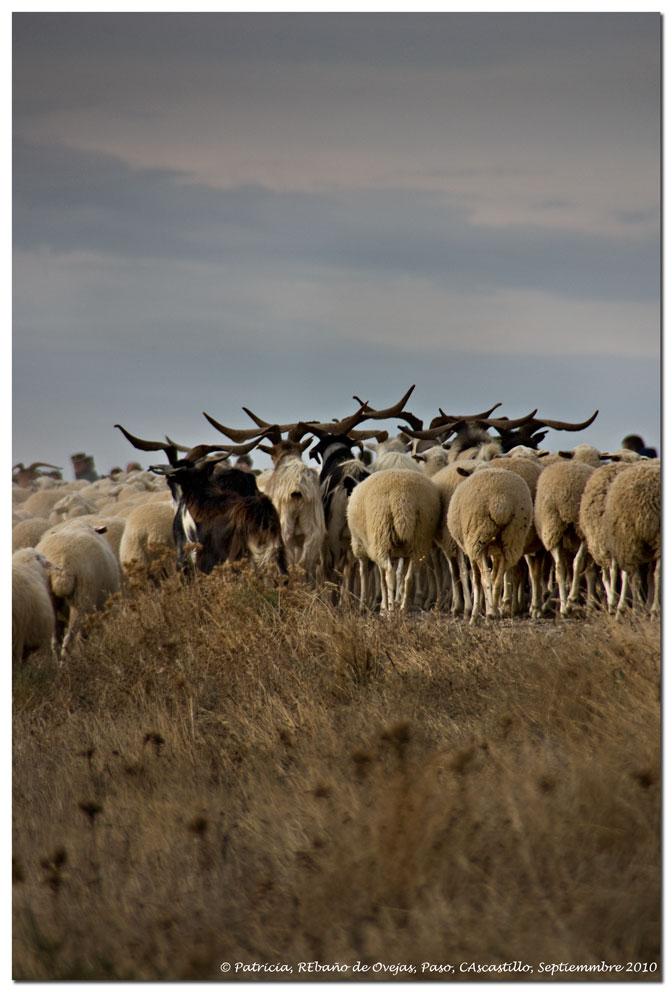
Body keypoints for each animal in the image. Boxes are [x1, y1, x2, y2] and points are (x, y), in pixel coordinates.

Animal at [346, 466, 440, 612]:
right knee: (409, 578)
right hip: (419, 540)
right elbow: (399, 576)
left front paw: (380, 607)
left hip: (381, 538)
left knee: (389, 575)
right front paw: (395, 601)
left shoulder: (366, 547)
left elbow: (376, 578)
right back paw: (403, 609)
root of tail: (402, 499)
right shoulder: (404, 554)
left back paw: (390, 610)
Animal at [448, 466, 532, 620]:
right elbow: (494, 575)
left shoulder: (471, 549)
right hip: (512, 538)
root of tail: (500, 503)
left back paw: (490, 613)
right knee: (498, 578)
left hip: (478, 537)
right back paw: (495, 610)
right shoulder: (495, 551)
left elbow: (476, 579)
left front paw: (474, 614)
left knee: (485, 578)